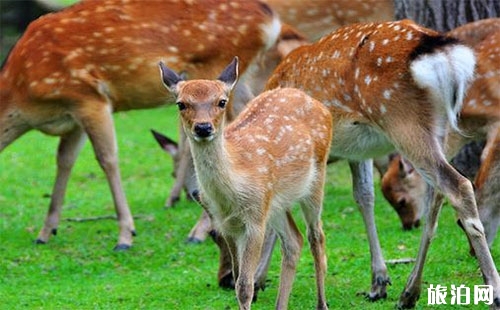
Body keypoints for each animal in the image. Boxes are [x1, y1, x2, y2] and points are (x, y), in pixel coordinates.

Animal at [0, 0, 282, 249]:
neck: (23, 97)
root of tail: (270, 18)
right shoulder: (73, 115)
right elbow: (64, 161)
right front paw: (45, 232)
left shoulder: (89, 96)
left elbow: (107, 159)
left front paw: (125, 235)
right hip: (240, 78)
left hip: (215, 68)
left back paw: (198, 232)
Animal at [160, 57, 332, 310]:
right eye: (181, 104)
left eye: (222, 101)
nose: (203, 127)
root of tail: (319, 104)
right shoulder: (226, 224)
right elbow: (237, 278)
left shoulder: (255, 220)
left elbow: (244, 286)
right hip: (275, 203)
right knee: (294, 241)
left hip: (316, 179)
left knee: (316, 236)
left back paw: (322, 304)